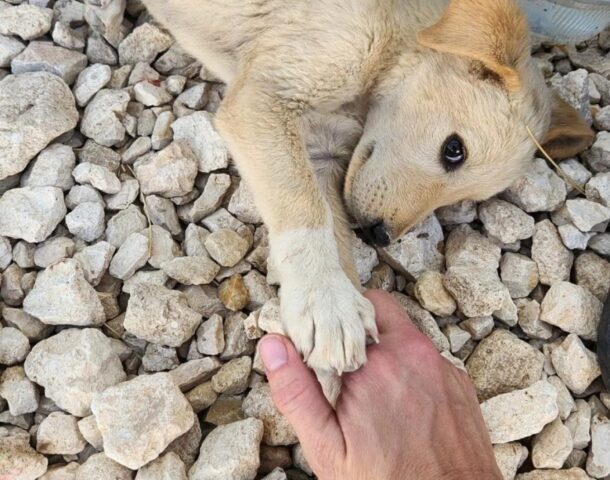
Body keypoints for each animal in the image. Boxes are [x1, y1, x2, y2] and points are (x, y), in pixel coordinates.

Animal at [142, 0, 588, 404]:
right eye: (454, 150)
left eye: (465, 197)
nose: (378, 236)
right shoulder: (266, 98)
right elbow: (303, 206)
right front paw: (325, 301)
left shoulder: (321, 149)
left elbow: (335, 237)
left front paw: (339, 356)